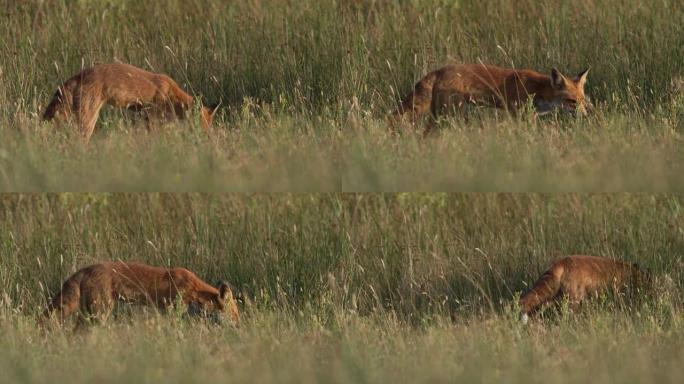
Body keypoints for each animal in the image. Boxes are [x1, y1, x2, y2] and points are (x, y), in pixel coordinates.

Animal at [42, 62, 219, 142]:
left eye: (210, 126)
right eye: (202, 126)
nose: (208, 139)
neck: (170, 92)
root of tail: (81, 74)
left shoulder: (145, 116)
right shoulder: (153, 116)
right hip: (88, 119)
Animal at [42, 260, 240, 328]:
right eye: (235, 314)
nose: (240, 327)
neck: (194, 288)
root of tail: (85, 269)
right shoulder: (172, 308)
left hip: (90, 313)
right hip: (100, 313)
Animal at [392, 62, 592, 121]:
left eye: (582, 101)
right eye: (571, 101)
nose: (585, 116)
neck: (537, 89)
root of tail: (441, 69)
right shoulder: (517, 114)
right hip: (451, 116)